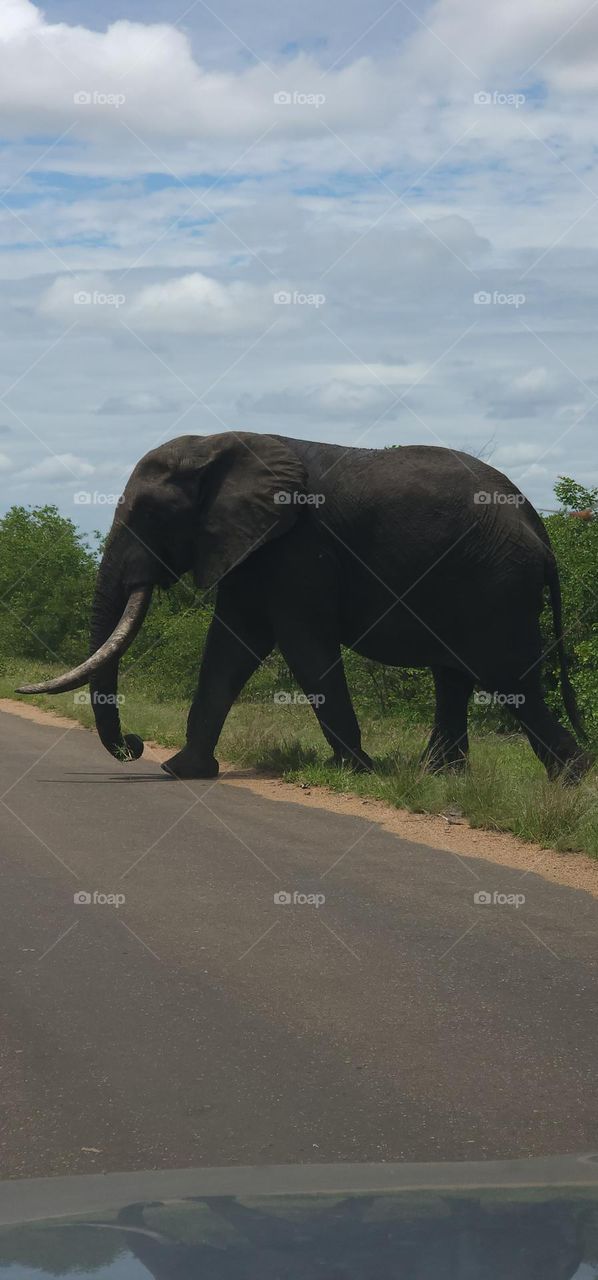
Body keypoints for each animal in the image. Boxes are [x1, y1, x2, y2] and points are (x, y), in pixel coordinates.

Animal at [18, 431, 588, 781]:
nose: (134, 745)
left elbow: (303, 644)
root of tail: (540, 528)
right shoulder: (253, 545)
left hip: (496, 583)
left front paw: (357, 771)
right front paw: (182, 770)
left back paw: (570, 781)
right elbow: (231, 646)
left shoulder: (298, 547)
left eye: (150, 515)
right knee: (455, 676)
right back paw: (442, 779)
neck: (218, 446)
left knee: (509, 677)